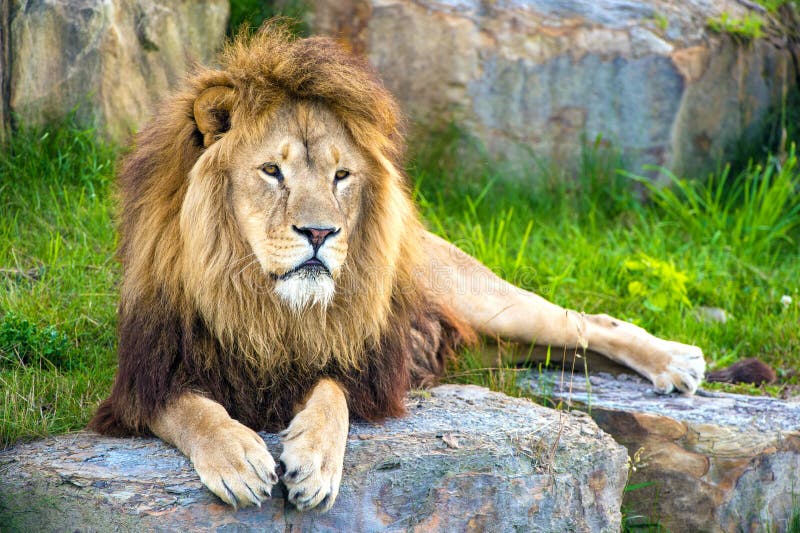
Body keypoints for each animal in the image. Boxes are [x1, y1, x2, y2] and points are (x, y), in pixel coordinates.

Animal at [89, 25, 706, 512]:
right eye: (271, 171)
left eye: (341, 176)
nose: (321, 233)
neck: (262, 305)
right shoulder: (145, 380)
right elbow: (192, 411)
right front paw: (238, 457)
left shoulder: (367, 365)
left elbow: (332, 395)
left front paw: (314, 462)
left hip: (492, 304)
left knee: (589, 322)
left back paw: (676, 360)